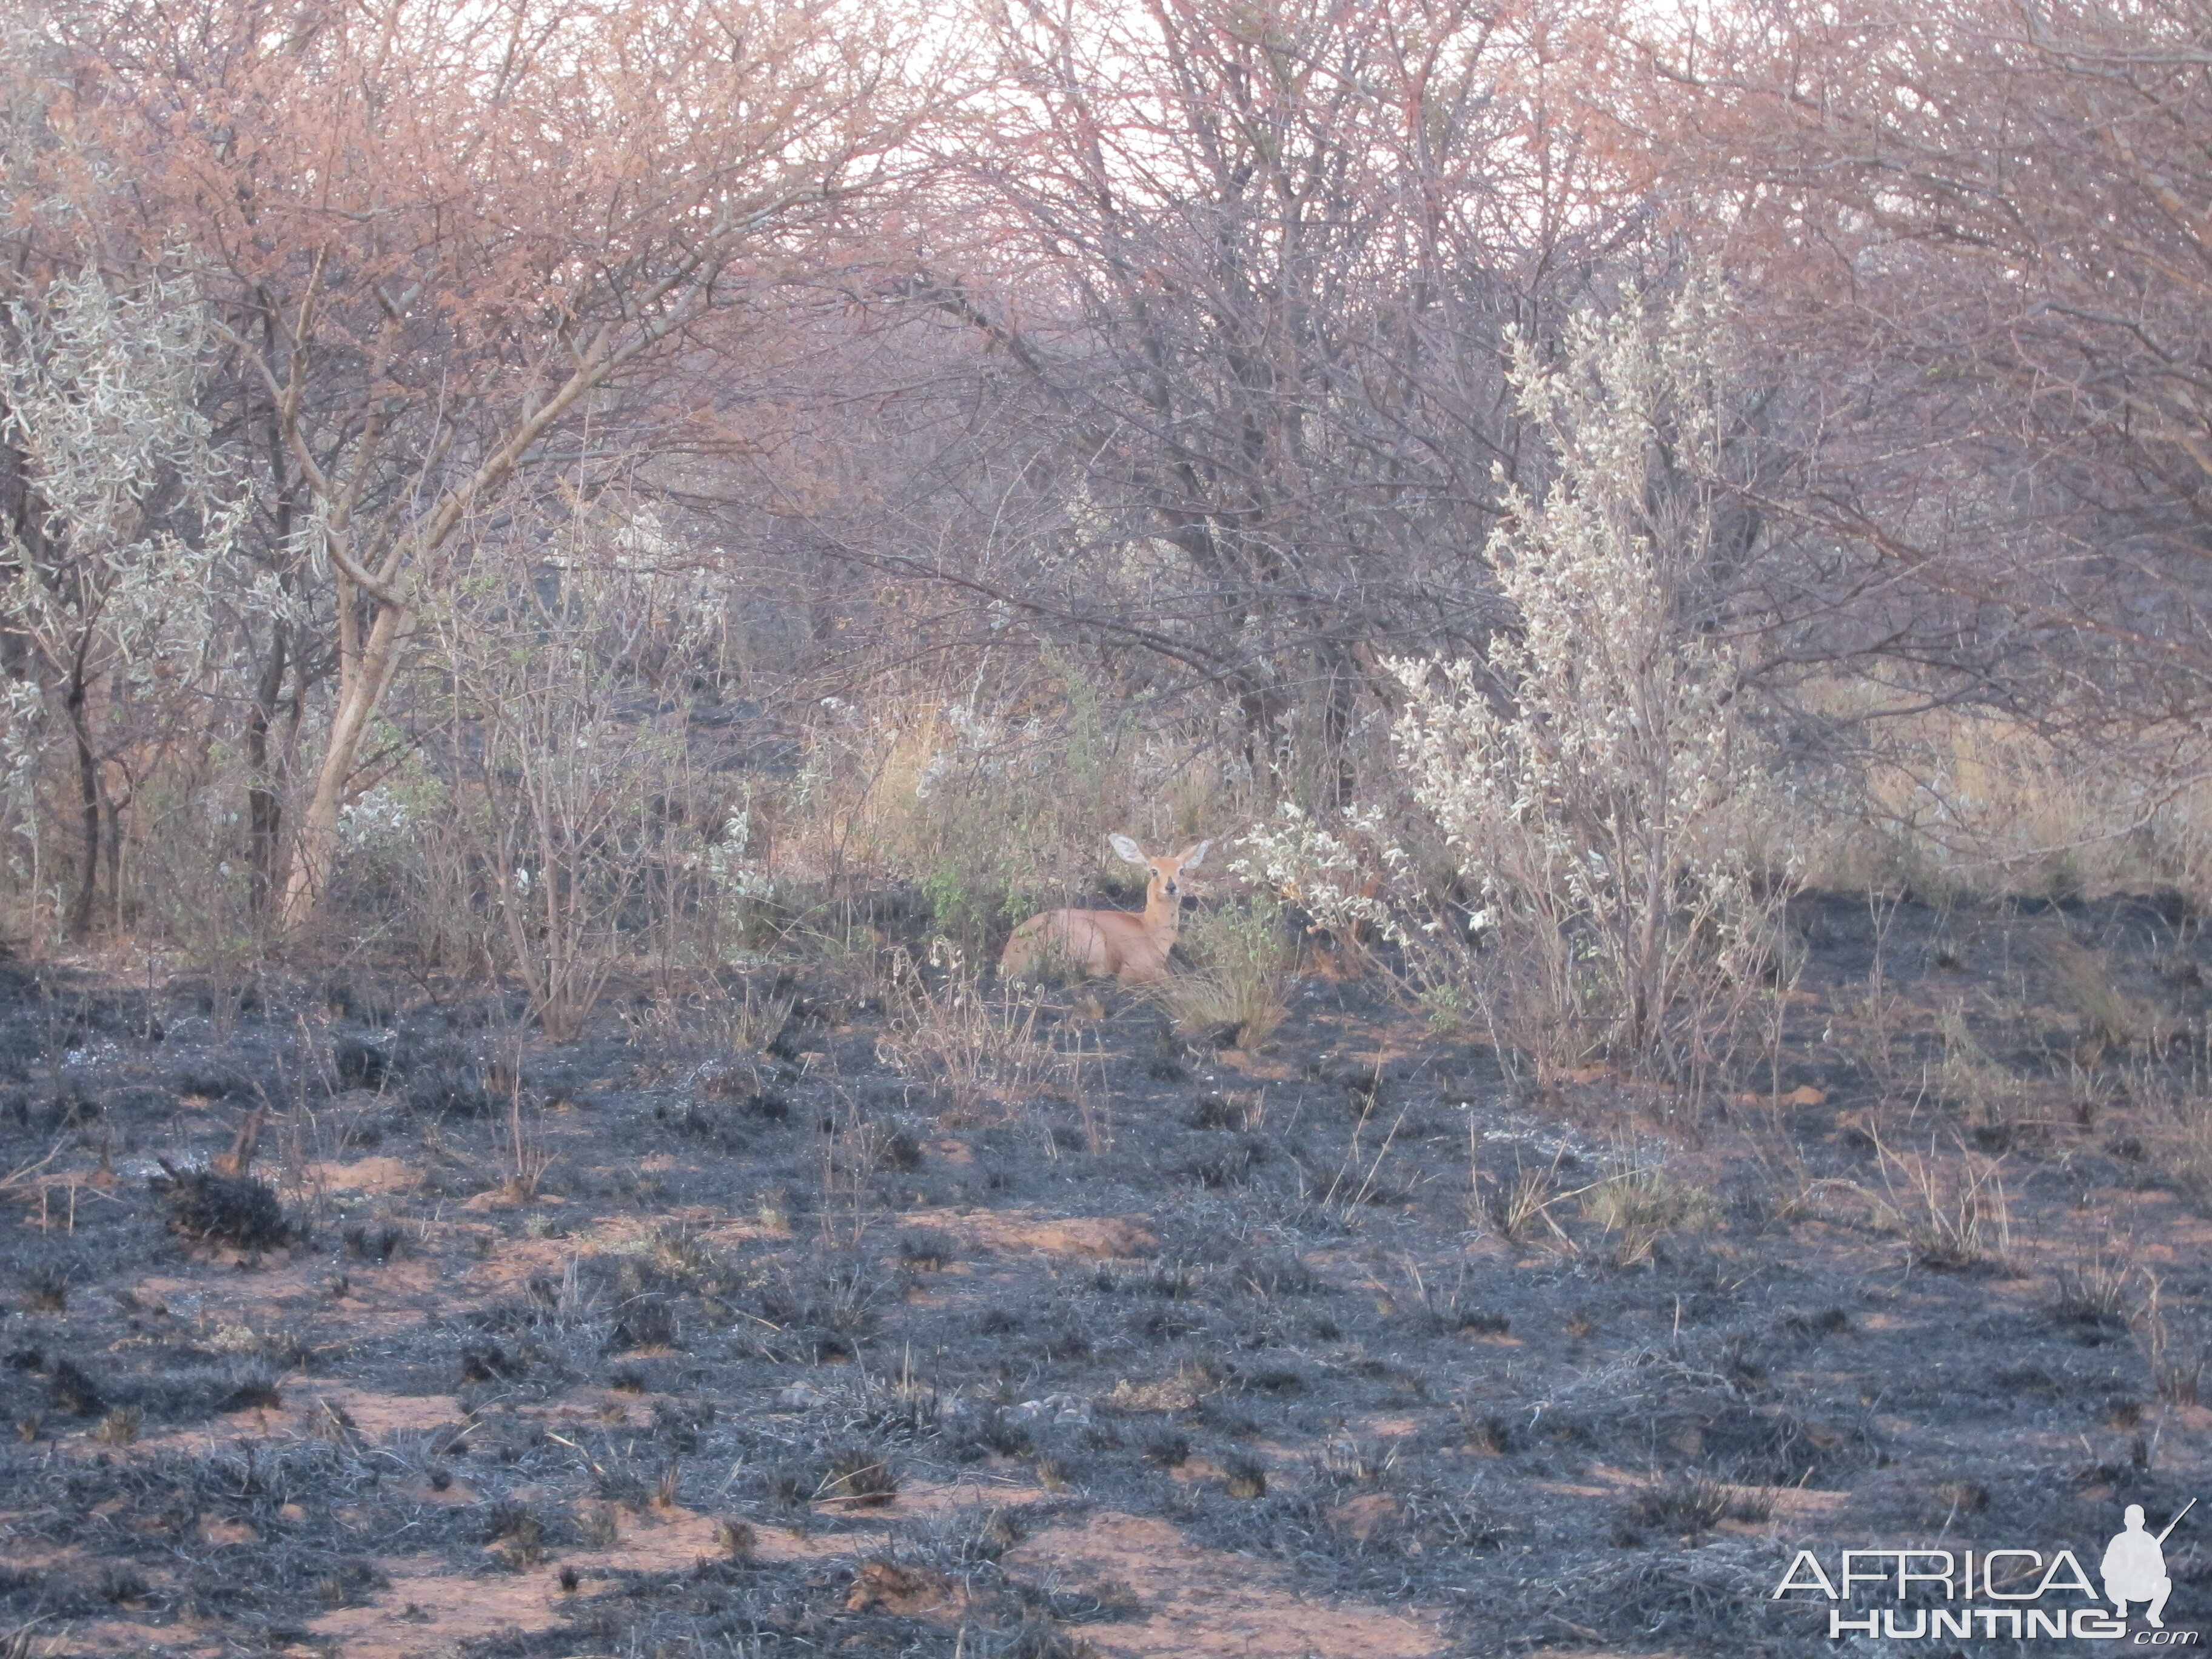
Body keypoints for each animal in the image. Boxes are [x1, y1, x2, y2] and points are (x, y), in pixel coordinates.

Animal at [1004, 831, 1212, 987]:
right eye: (1154, 871)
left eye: (1181, 870)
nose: (1171, 887)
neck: (1150, 929)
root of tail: (1011, 955)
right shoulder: (1135, 965)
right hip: (1091, 938)